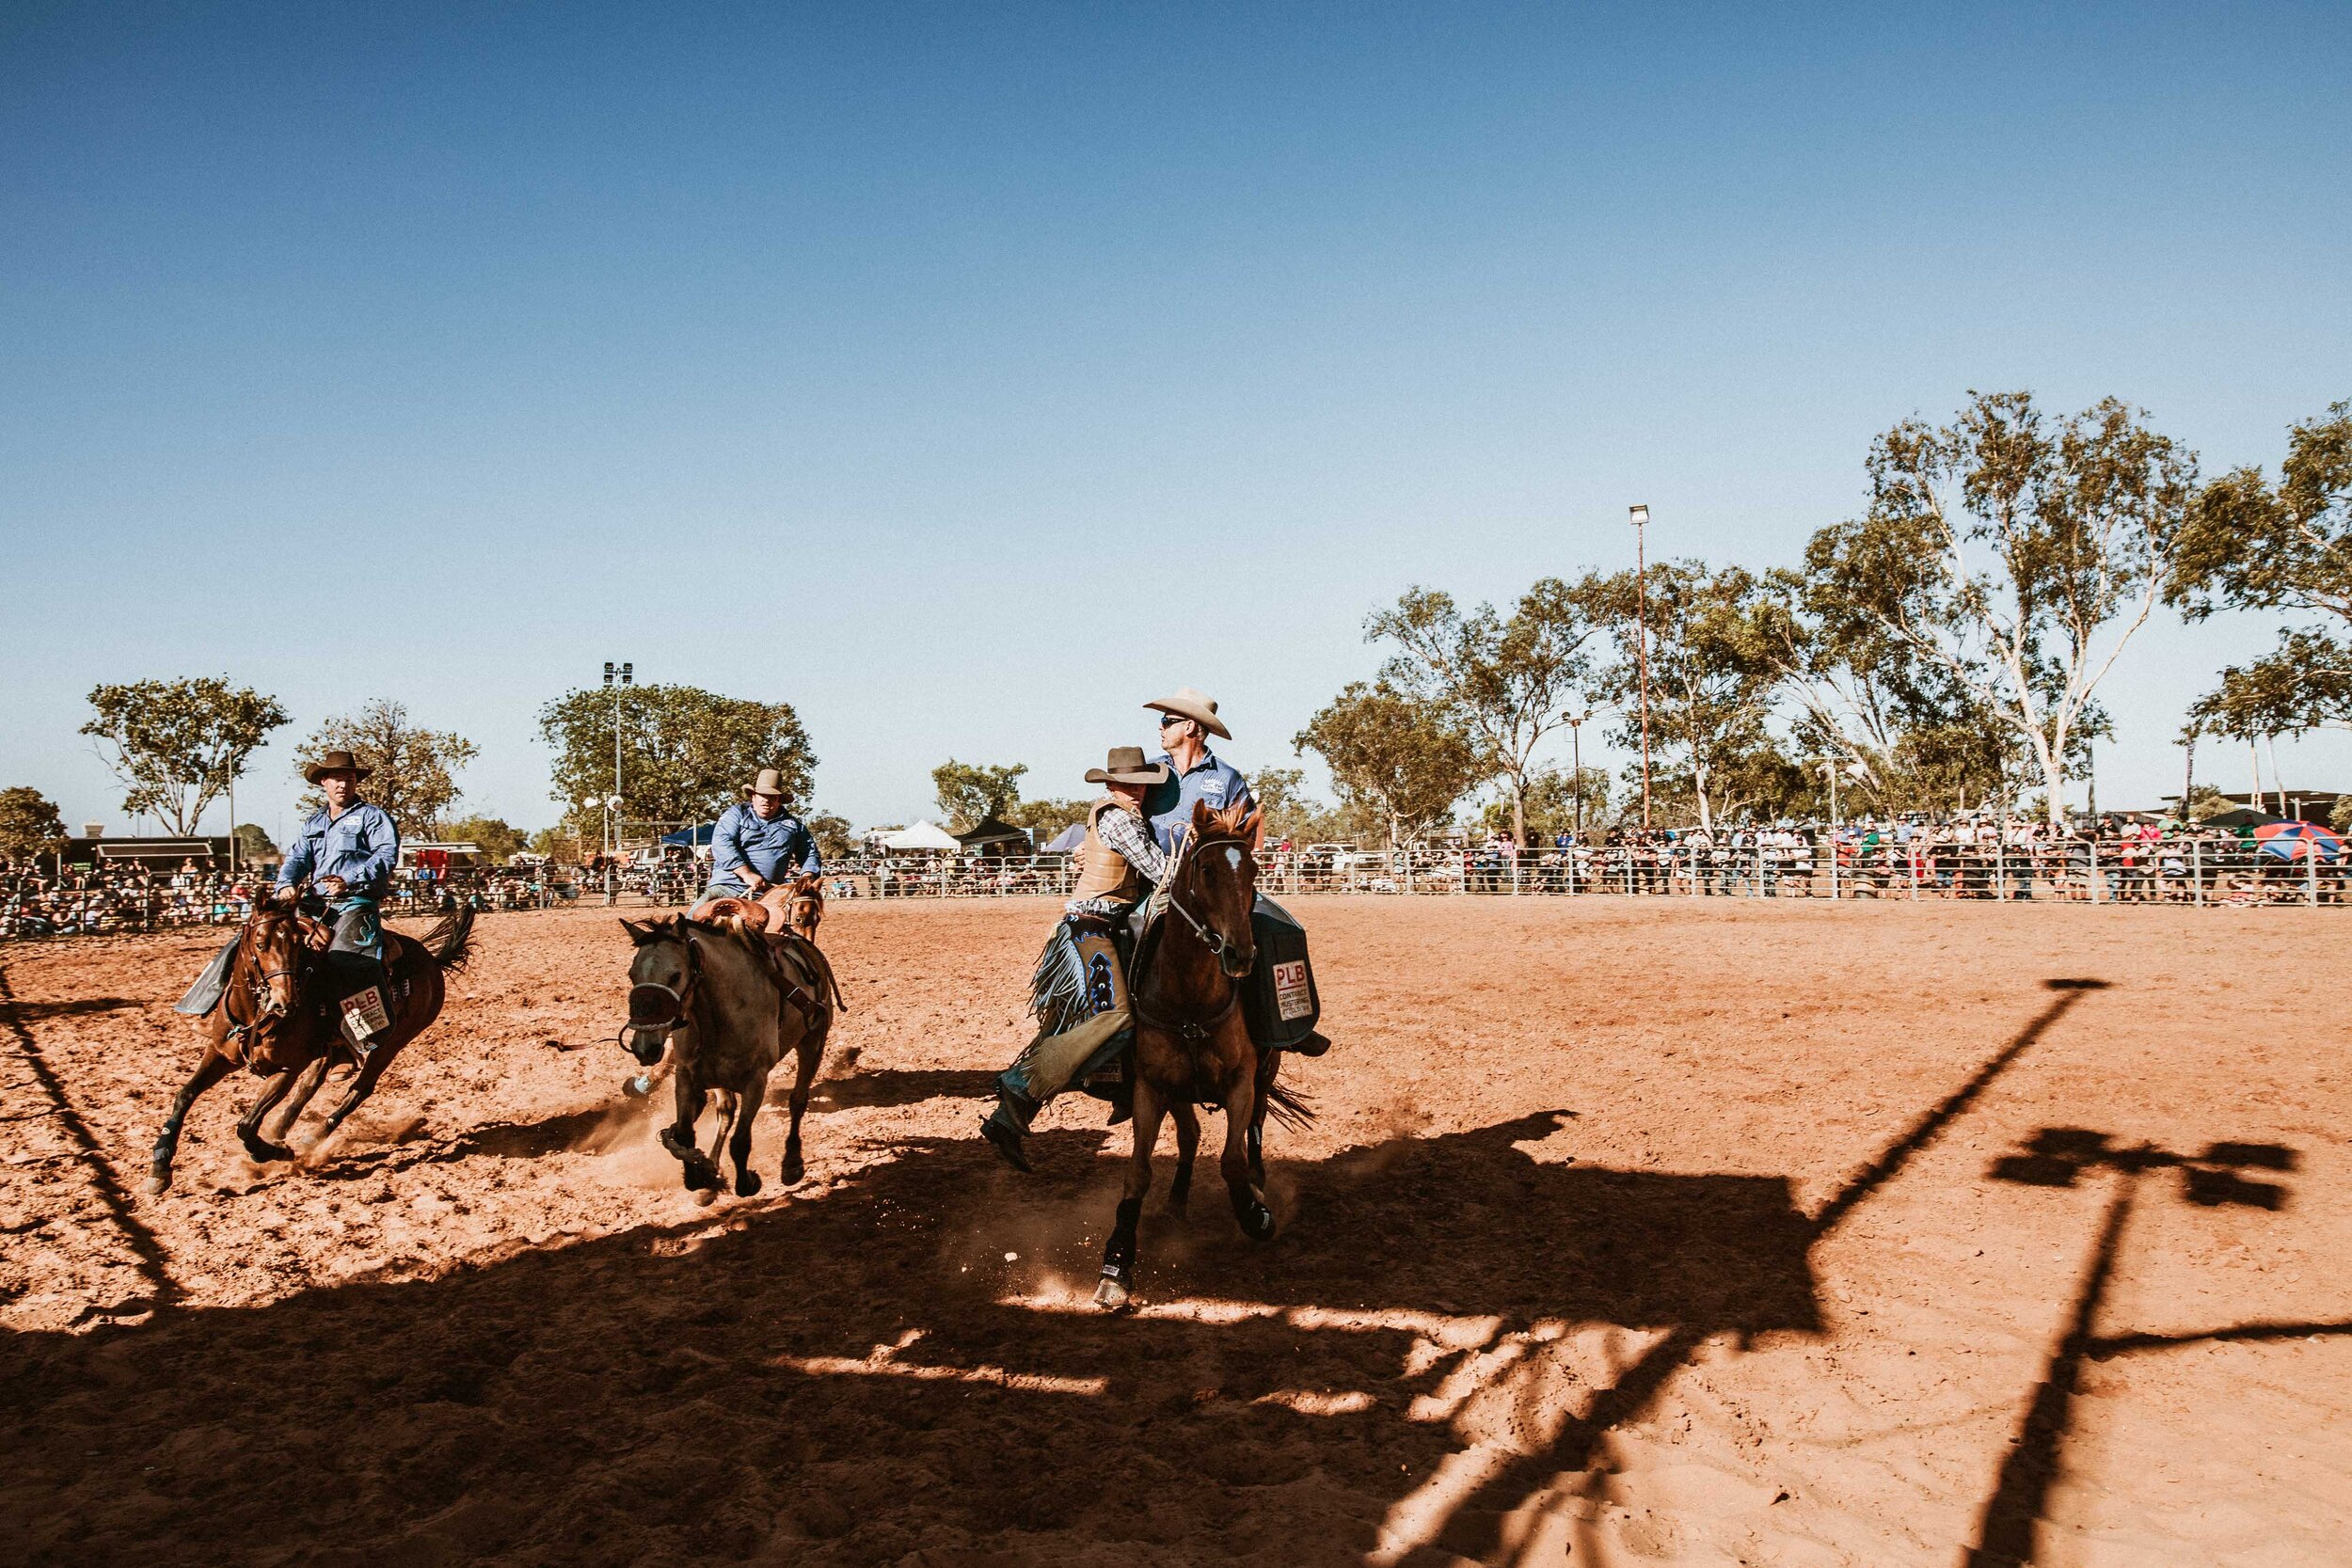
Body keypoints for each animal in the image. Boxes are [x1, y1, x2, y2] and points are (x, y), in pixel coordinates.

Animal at [149, 888, 475, 1194]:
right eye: (260, 943)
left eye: (297, 944)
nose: (286, 1003)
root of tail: (431, 960)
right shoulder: (219, 1053)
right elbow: (185, 1095)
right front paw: (160, 1167)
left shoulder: (286, 1070)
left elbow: (247, 1126)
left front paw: (272, 1152)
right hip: (328, 1049)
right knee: (312, 1084)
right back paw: (282, 1130)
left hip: (391, 1043)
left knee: (359, 1090)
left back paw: (309, 1138)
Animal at [1096, 799, 1317, 1316]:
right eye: (1206, 869)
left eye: (1254, 869)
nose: (1240, 955)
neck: (1190, 1001)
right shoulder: (1150, 1088)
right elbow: (1138, 1173)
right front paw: (1116, 1265)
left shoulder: (1240, 1082)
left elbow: (1233, 1160)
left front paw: (1254, 1214)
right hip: (1179, 1092)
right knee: (1191, 1135)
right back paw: (1177, 1202)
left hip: (1264, 1076)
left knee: (1254, 1129)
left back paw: (1257, 1184)